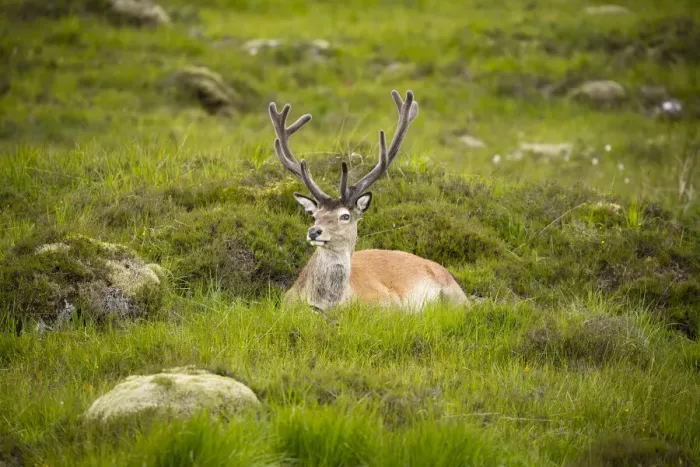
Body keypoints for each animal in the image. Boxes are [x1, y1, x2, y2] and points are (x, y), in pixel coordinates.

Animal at [269, 90, 468, 312]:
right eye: (314, 215)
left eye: (345, 216)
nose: (314, 231)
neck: (329, 303)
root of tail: (441, 267)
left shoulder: (387, 302)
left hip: (456, 295)